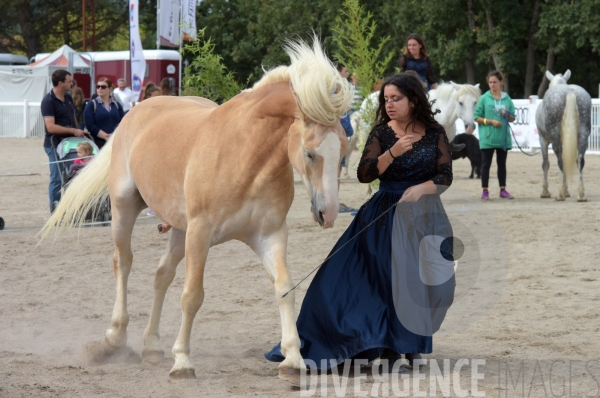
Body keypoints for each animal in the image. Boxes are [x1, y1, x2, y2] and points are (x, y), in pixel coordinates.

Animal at [42, 38, 354, 380]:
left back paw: (152, 347)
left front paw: (293, 360)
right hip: (125, 208)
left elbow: (285, 289)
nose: (329, 213)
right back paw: (114, 338)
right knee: (123, 263)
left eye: (343, 149)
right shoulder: (200, 234)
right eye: (309, 153)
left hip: (180, 230)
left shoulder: (270, 236)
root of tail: (139, 110)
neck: (245, 158)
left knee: (161, 275)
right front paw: (182, 362)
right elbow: (192, 296)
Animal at [536, 69, 592, 202]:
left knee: (560, 161)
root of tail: (570, 92)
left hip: (555, 138)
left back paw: (560, 194)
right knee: (580, 160)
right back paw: (581, 195)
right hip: (583, 135)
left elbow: (545, 164)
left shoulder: (542, 139)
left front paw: (545, 192)